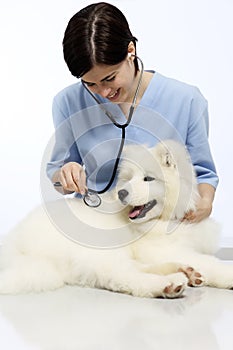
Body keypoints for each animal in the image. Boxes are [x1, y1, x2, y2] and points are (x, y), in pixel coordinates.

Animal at [0, 141, 233, 296]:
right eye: (128, 179)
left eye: (148, 178)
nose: (122, 193)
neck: (163, 220)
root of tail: (13, 246)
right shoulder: (160, 248)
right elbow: (210, 262)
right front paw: (227, 274)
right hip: (101, 249)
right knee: (124, 277)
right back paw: (169, 284)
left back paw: (184, 272)